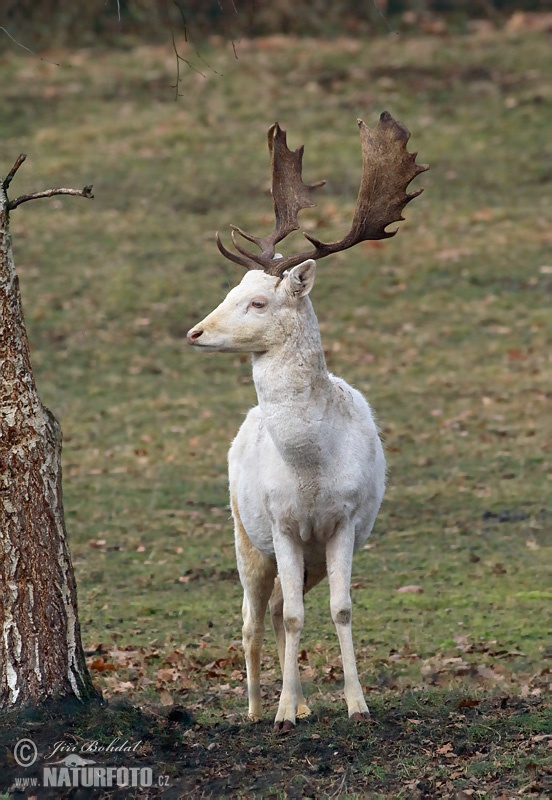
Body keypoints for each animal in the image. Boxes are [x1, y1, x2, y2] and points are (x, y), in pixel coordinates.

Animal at [187, 112, 426, 732]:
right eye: (234, 289)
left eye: (257, 303)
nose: (195, 332)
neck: (311, 464)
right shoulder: (283, 523)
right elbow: (296, 616)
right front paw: (280, 717)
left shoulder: (341, 523)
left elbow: (339, 609)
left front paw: (355, 704)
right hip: (245, 534)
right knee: (252, 616)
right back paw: (255, 708)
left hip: (305, 554)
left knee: (274, 609)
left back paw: (300, 700)